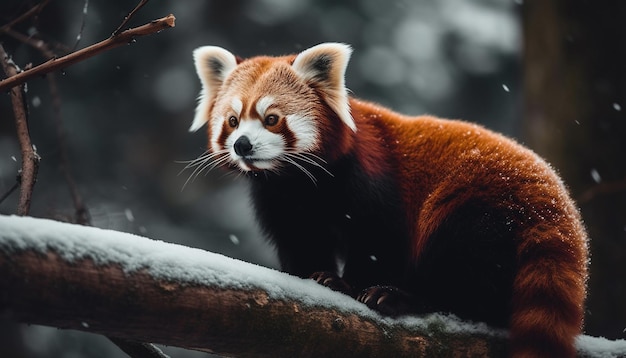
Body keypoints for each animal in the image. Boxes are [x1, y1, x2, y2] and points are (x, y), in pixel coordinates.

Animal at [188, 43, 588, 356]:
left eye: (271, 118)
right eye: (232, 121)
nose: (243, 145)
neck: (297, 181)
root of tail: (555, 202)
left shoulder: (370, 178)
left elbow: (379, 239)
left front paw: (345, 284)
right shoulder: (282, 201)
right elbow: (302, 241)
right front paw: (312, 276)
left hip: (482, 206)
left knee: (463, 267)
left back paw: (403, 298)